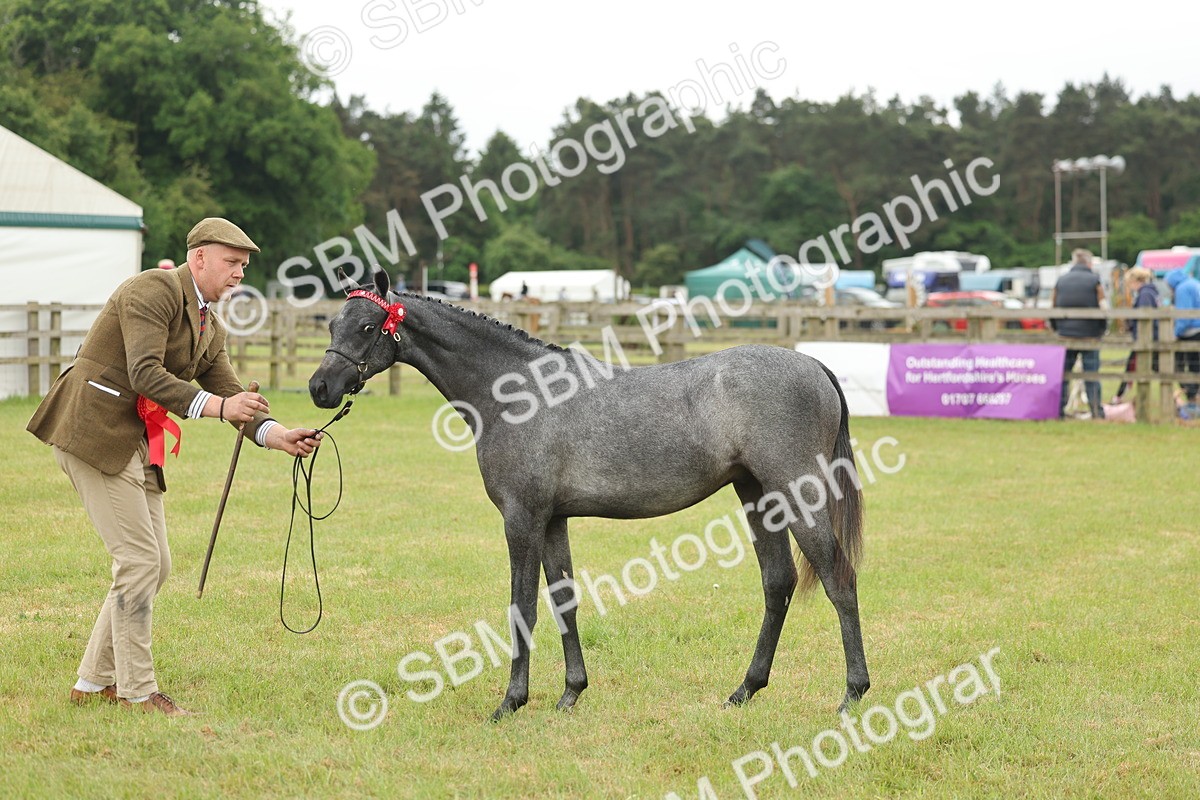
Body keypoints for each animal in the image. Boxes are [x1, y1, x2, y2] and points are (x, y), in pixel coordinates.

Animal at [309, 270, 869, 721]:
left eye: (366, 327)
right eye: (332, 325)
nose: (319, 388)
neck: (515, 393)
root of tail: (814, 366)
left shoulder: (522, 518)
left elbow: (523, 606)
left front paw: (511, 701)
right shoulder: (553, 520)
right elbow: (564, 600)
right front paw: (570, 693)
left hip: (797, 494)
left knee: (838, 579)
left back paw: (852, 695)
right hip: (757, 496)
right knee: (778, 583)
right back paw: (744, 690)